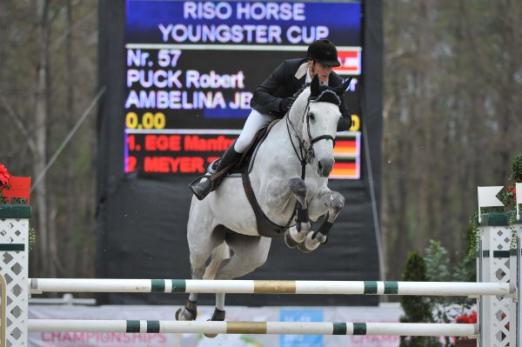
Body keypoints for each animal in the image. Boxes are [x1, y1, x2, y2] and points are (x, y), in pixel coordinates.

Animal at [177, 77, 348, 330]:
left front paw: (310, 238)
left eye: (338, 117)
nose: (325, 165)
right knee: (198, 271)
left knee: (221, 276)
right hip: (201, 239)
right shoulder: (270, 199)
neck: (301, 153)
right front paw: (298, 234)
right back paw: (188, 312)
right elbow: (298, 186)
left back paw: (218, 316)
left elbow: (336, 201)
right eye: (312, 116)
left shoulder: (317, 199)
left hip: (250, 254)